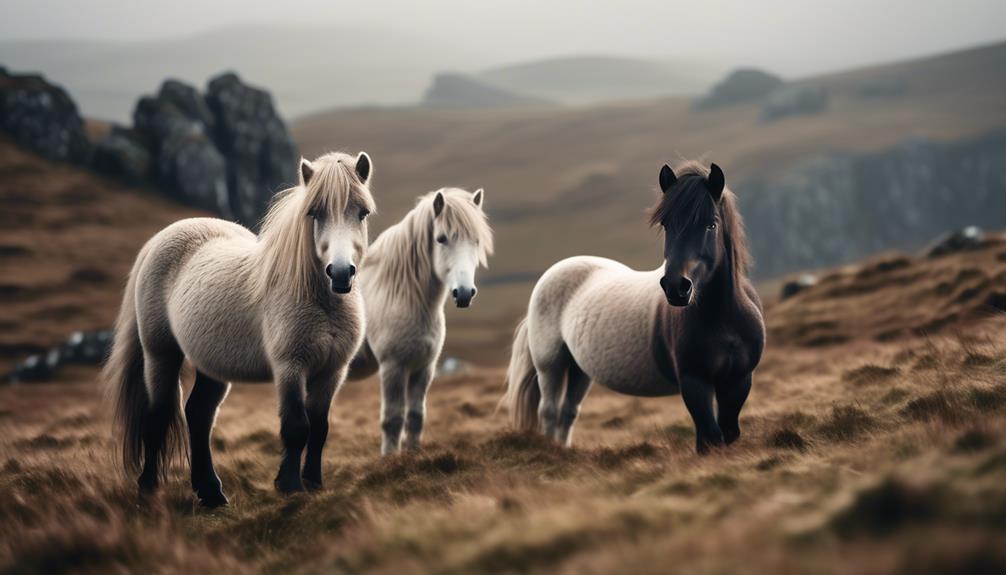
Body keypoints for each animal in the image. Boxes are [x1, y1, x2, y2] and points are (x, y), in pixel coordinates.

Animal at [104, 150, 378, 504]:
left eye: (362, 212)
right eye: (314, 213)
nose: (341, 273)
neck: (320, 301)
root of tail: (157, 241)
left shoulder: (333, 371)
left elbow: (319, 428)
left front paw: (313, 483)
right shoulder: (290, 367)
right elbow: (296, 427)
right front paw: (291, 486)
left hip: (211, 365)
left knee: (198, 414)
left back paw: (211, 493)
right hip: (160, 354)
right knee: (159, 415)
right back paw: (149, 489)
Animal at [350, 188, 494, 454]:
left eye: (476, 240)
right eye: (441, 239)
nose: (464, 293)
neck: (402, 295)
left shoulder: (424, 368)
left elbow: (416, 417)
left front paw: (413, 455)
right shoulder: (393, 367)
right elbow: (393, 419)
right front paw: (389, 459)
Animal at [503, 161, 760, 454]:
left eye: (711, 224)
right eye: (666, 224)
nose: (676, 287)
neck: (724, 319)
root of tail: (551, 274)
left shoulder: (738, 381)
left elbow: (727, 432)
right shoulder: (694, 382)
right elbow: (710, 436)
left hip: (579, 370)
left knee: (568, 412)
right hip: (551, 365)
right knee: (549, 411)